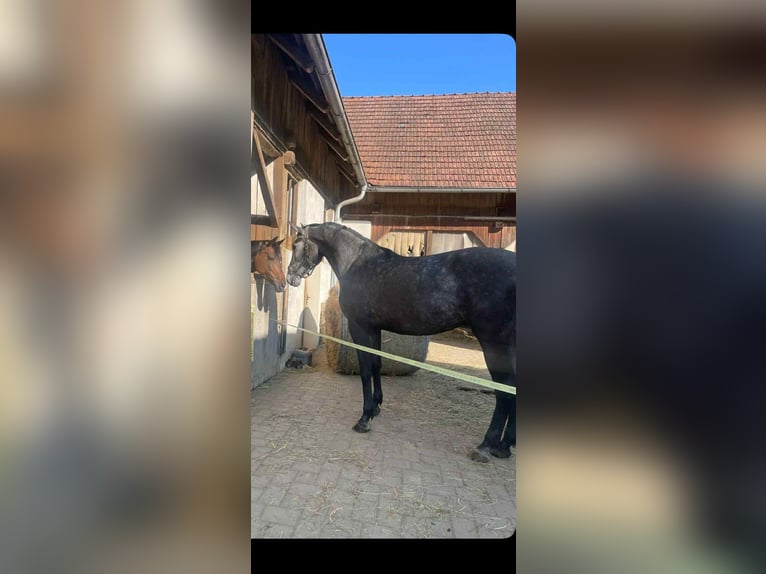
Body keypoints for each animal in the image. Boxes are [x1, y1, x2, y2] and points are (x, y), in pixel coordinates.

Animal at [286, 222, 516, 463]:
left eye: (295, 245)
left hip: (493, 342)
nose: (290, 277)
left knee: (505, 390)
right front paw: (376, 407)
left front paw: (364, 418)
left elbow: (365, 370)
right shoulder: (374, 329)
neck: (356, 262)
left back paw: (486, 446)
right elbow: (376, 365)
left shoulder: (359, 328)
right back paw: (504, 446)